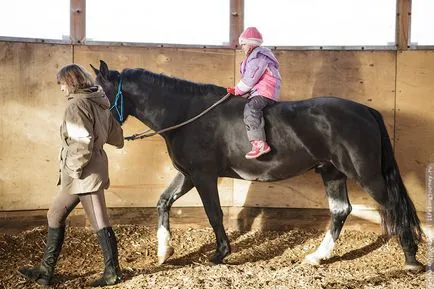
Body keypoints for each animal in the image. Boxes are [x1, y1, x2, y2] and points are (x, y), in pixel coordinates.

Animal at [89, 59, 424, 268]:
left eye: (101, 94)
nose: (96, 134)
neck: (186, 114)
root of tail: (365, 111)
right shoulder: (188, 174)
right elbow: (162, 202)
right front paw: (164, 252)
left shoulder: (203, 175)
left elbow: (214, 213)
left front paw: (220, 253)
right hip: (332, 171)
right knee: (341, 210)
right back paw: (317, 256)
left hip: (366, 173)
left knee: (393, 206)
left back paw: (411, 259)